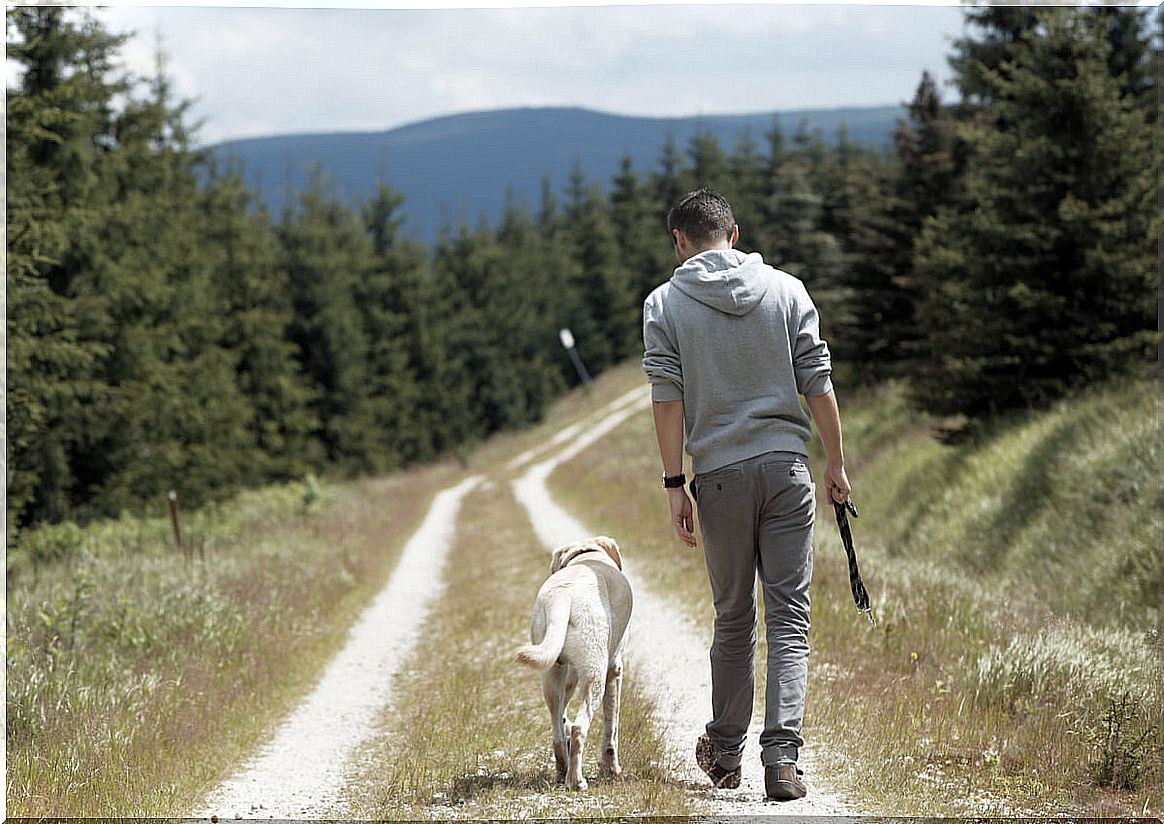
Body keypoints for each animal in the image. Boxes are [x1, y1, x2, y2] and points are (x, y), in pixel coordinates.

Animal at [514, 537, 633, 786]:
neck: (587, 554)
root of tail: (563, 596)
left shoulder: (569, 676)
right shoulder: (614, 670)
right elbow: (611, 731)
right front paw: (612, 770)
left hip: (552, 676)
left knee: (558, 732)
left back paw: (563, 772)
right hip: (595, 677)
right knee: (579, 728)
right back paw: (576, 781)